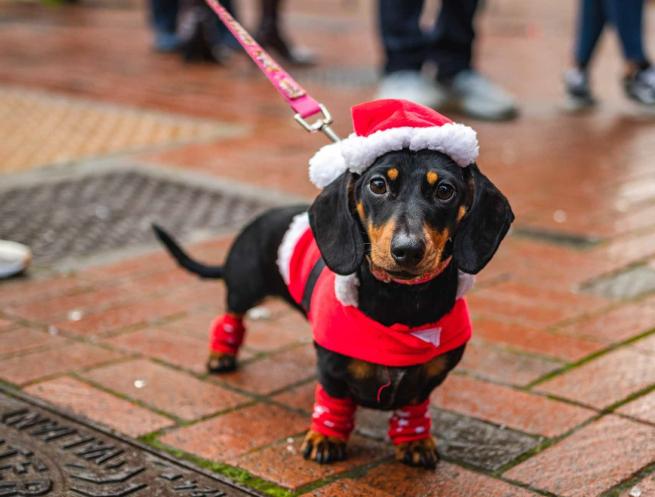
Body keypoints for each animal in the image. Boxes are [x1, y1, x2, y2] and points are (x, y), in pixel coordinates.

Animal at [154, 100, 512, 468]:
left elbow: (413, 406)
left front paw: (415, 440)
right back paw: (221, 354)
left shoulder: (428, 380)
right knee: (231, 315)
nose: (407, 250)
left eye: (444, 191)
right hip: (244, 286)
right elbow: (333, 401)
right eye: (378, 185)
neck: (401, 304)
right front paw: (325, 437)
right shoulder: (331, 369)